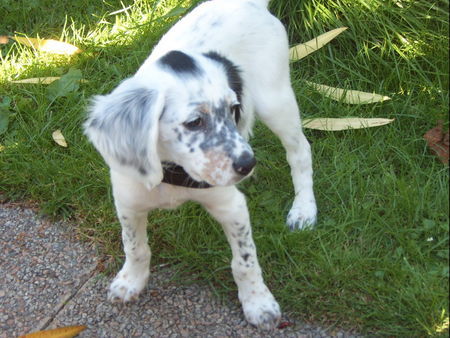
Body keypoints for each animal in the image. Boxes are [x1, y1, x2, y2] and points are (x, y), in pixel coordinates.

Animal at [84, 0, 316, 330]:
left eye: (231, 109)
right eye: (194, 122)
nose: (248, 164)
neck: (173, 171)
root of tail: (249, 4)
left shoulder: (232, 207)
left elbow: (245, 261)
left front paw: (258, 303)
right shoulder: (128, 202)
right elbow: (135, 246)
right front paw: (131, 281)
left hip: (275, 100)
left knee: (300, 152)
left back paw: (304, 209)